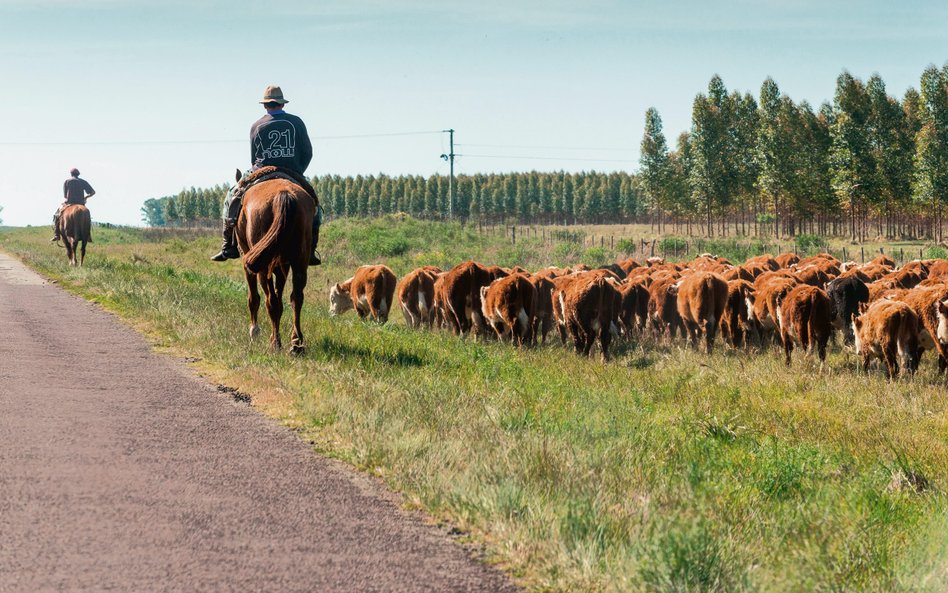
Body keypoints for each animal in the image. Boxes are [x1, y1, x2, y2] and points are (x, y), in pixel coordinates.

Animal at [233, 169, 314, 352]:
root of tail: (284, 195)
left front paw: (254, 331)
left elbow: (253, 298)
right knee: (296, 298)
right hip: (300, 262)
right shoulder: (282, 265)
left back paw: (275, 342)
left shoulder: (248, 260)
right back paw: (296, 343)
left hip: (261, 267)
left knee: (270, 301)